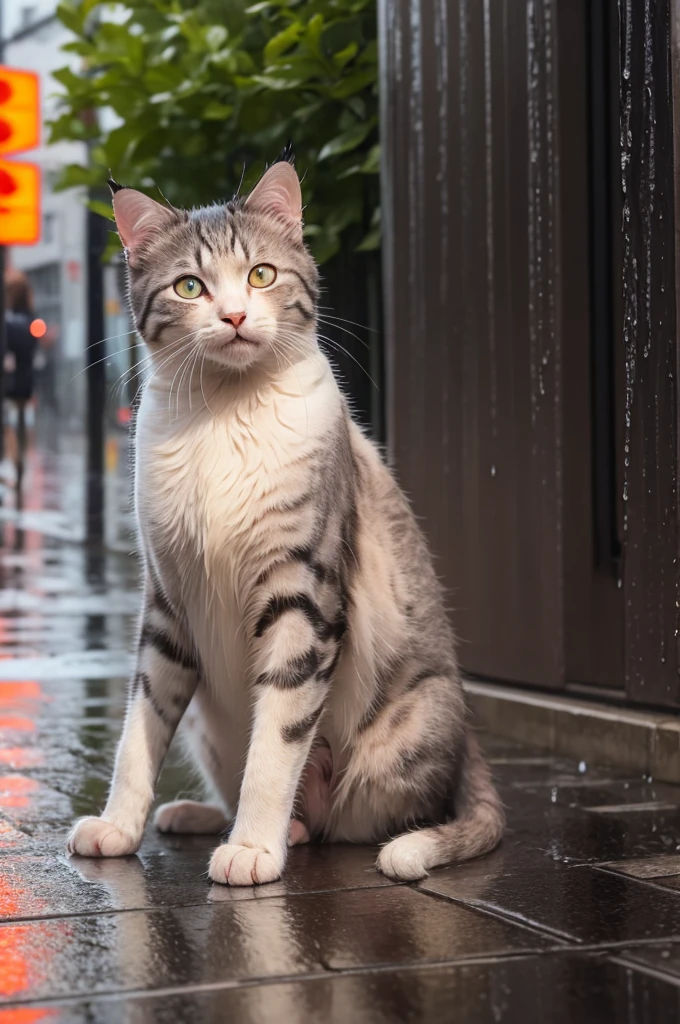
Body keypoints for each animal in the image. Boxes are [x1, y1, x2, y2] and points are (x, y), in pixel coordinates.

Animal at [67, 153, 503, 888]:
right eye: (189, 286)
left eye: (261, 274)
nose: (236, 315)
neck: (225, 413)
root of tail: (469, 735)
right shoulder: (166, 604)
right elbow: (139, 727)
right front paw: (119, 826)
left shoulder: (303, 592)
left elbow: (276, 740)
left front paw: (252, 849)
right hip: (207, 722)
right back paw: (197, 815)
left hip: (407, 727)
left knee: (348, 824)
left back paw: (288, 833)